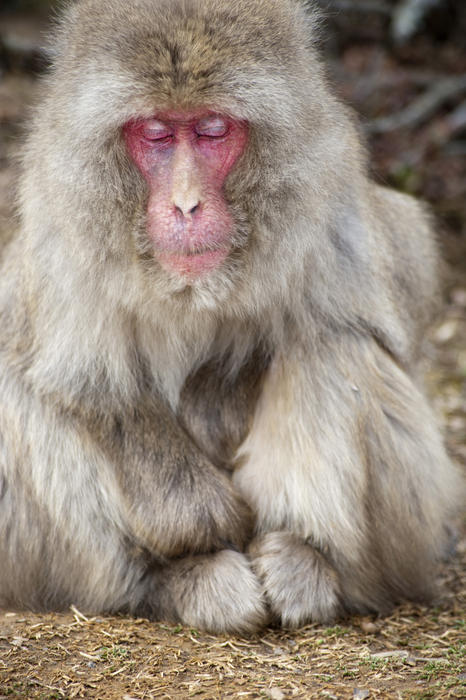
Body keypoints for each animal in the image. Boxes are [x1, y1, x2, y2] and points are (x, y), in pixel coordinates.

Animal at [0, 0, 460, 636]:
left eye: (213, 131)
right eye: (157, 133)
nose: (186, 204)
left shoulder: (329, 200)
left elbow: (387, 297)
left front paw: (220, 392)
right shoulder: (59, 231)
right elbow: (79, 384)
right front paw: (203, 520)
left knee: (336, 342)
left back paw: (307, 563)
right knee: (21, 396)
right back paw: (171, 582)